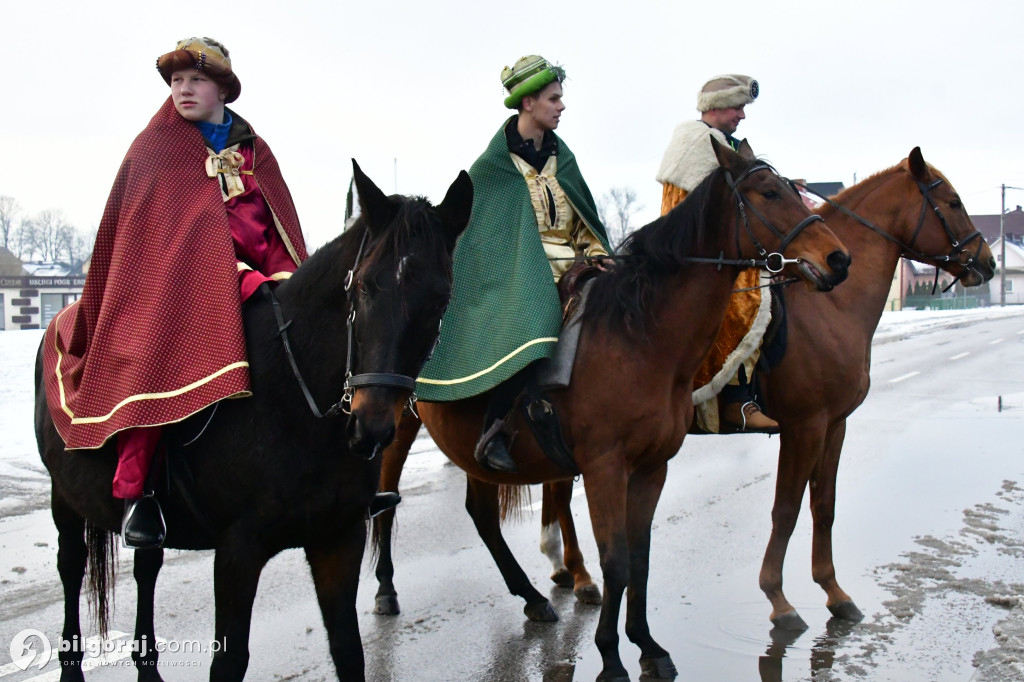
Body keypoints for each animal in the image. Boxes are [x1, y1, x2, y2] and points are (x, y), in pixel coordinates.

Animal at [32, 160, 471, 679]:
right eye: (364, 285)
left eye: (441, 300)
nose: (372, 425)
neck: (295, 405)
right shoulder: (237, 552)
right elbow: (229, 659)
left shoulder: (338, 538)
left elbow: (348, 649)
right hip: (64, 497)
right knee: (71, 565)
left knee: (146, 566)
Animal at [372, 139, 851, 679]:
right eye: (769, 193)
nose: (838, 258)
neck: (639, 338)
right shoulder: (605, 467)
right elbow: (616, 561)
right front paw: (610, 656)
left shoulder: (651, 468)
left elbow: (639, 559)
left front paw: (647, 645)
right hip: (396, 426)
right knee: (387, 502)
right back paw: (387, 590)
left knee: (482, 516)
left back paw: (533, 598)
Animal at [532, 146, 995, 630]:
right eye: (954, 202)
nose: (988, 261)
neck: (831, 307)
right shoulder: (804, 426)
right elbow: (786, 509)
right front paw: (778, 597)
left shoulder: (835, 425)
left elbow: (823, 506)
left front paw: (834, 592)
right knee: (561, 493)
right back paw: (579, 575)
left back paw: (564, 569)